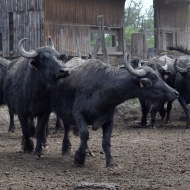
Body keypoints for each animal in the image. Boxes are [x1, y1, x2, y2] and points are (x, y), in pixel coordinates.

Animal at [49, 52, 179, 167]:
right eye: (153, 76)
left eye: (161, 75)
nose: (175, 93)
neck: (103, 89)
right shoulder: (78, 114)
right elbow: (85, 134)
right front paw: (79, 158)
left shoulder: (109, 119)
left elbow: (106, 141)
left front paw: (110, 162)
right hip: (63, 112)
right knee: (67, 130)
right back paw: (66, 149)